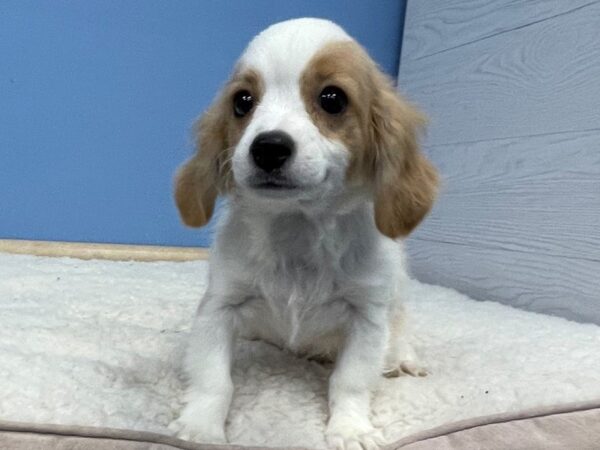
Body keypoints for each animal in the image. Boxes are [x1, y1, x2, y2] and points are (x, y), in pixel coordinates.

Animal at [169, 17, 436, 450]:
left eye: (332, 98)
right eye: (242, 102)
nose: (268, 147)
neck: (297, 229)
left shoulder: (367, 318)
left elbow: (350, 381)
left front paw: (350, 428)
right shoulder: (220, 306)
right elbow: (213, 377)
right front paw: (200, 427)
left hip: (396, 302)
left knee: (401, 331)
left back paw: (403, 361)